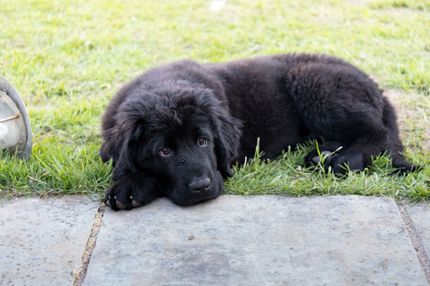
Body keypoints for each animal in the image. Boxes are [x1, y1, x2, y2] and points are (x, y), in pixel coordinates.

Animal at [100, 53, 416, 210]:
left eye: (203, 141)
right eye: (164, 151)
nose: (202, 186)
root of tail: (374, 85)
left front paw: (131, 186)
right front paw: (131, 184)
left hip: (315, 84)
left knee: (376, 133)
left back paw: (339, 161)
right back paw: (322, 154)